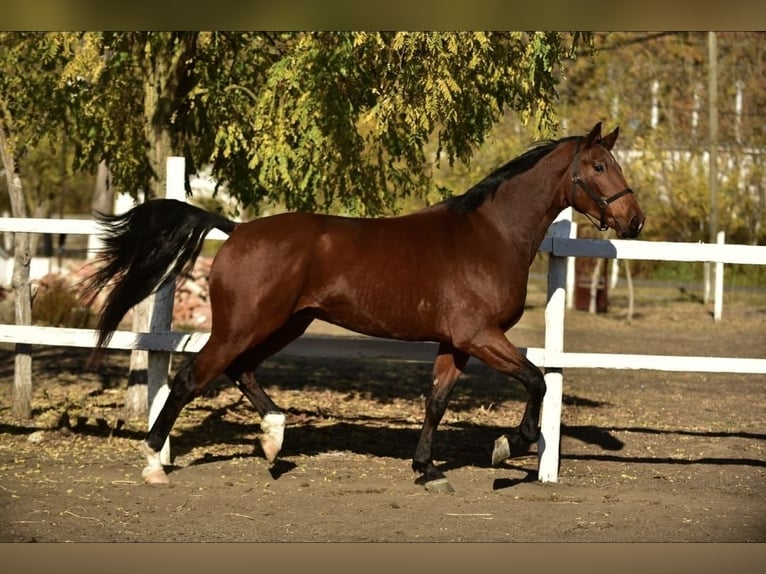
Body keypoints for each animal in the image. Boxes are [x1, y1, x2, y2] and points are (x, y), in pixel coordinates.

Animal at [83, 121, 645, 490]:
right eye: (598, 165)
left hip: (286, 324)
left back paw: (274, 439)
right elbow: (537, 381)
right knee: (190, 379)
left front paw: (427, 470)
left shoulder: (456, 343)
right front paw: (509, 446)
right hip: (244, 325)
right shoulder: (481, 336)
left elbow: (436, 401)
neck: (490, 235)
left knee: (239, 371)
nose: (635, 220)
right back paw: (155, 463)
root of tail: (237, 228)